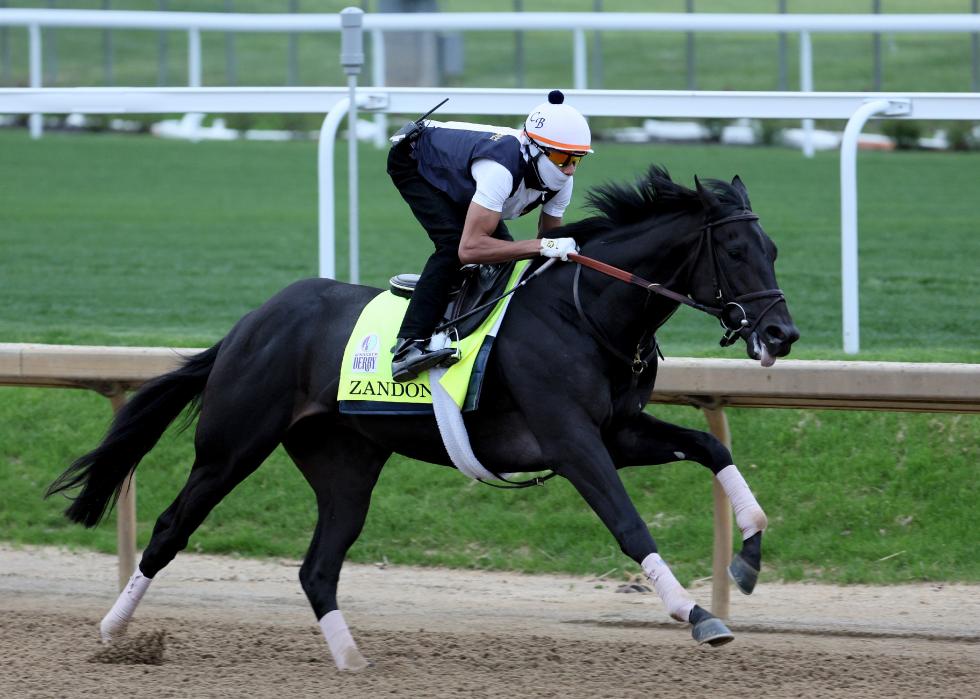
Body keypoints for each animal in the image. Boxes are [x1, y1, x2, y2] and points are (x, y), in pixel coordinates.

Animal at [44, 165, 796, 672]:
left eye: (774, 250)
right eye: (736, 252)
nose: (781, 334)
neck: (586, 311)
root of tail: (249, 324)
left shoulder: (617, 430)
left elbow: (709, 446)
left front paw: (749, 555)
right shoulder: (571, 440)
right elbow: (628, 521)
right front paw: (696, 612)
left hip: (344, 463)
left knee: (318, 567)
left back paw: (351, 659)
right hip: (231, 446)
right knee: (172, 528)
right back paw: (113, 632)